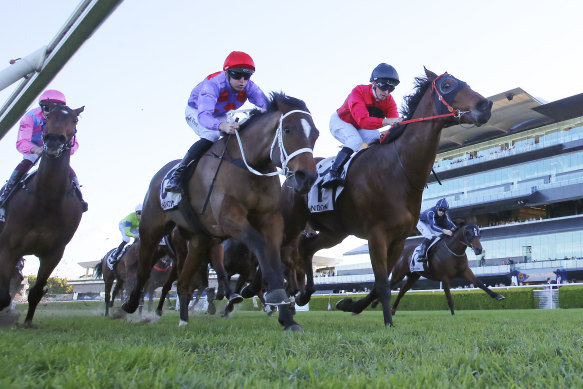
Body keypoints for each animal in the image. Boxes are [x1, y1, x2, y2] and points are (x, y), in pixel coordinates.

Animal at [0, 101, 85, 324]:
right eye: (48, 118)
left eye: (74, 120)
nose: (54, 140)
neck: (48, 199)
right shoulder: (9, 247)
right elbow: (3, 293)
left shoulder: (54, 252)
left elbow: (36, 291)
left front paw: (28, 322)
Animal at [122, 93, 320, 330]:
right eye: (288, 129)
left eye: (315, 134)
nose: (306, 177)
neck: (248, 165)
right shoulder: (229, 219)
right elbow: (261, 247)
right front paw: (270, 298)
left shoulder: (271, 219)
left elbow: (272, 258)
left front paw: (287, 317)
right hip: (151, 228)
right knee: (144, 270)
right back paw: (131, 305)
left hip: (198, 240)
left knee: (183, 281)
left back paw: (183, 319)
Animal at [288, 68, 492, 326]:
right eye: (447, 85)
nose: (486, 105)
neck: (398, 168)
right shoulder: (376, 235)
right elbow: (383, 284)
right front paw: (388, 323)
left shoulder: (398, 240)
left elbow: (380, 285)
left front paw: (350, 305)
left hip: (335, 232)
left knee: (306, 249)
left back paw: (304, 294)